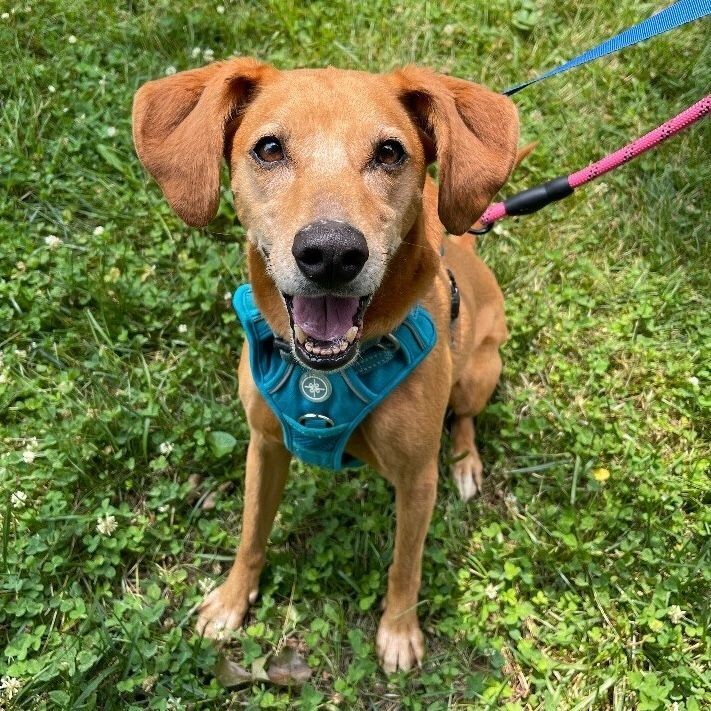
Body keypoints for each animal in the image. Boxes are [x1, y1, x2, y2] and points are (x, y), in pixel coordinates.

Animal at [134, 59, 520, 672]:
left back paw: (465, 461)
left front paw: (399, 631)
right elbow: (251, 534)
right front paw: (231, 600)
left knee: (463, 418)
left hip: (479, 372)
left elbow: (405, 565)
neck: (329, 371)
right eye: (269, 148)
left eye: (389, 152)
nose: (332, 254)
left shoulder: (417, 480)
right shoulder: (264, 445)